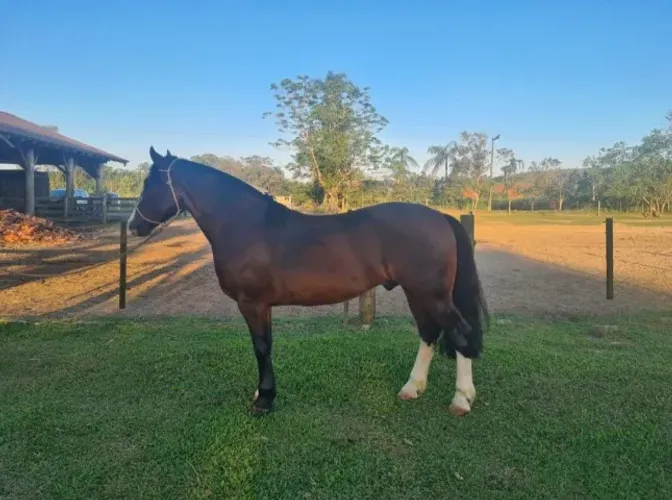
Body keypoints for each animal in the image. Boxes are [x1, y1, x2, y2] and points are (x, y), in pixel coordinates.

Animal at [128, 147, 489, 416]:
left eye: (149, 183)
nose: (133, 226)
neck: (245, 224)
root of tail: (440, 217)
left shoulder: (252, 303)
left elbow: (260, 347)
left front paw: (264, 400)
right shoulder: (263, 306)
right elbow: (266, 345)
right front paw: (262, 393)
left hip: (433, 294)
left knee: (460, 333)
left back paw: (461, 399)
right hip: (419, 293)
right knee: (429, 333)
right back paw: (412, 388)